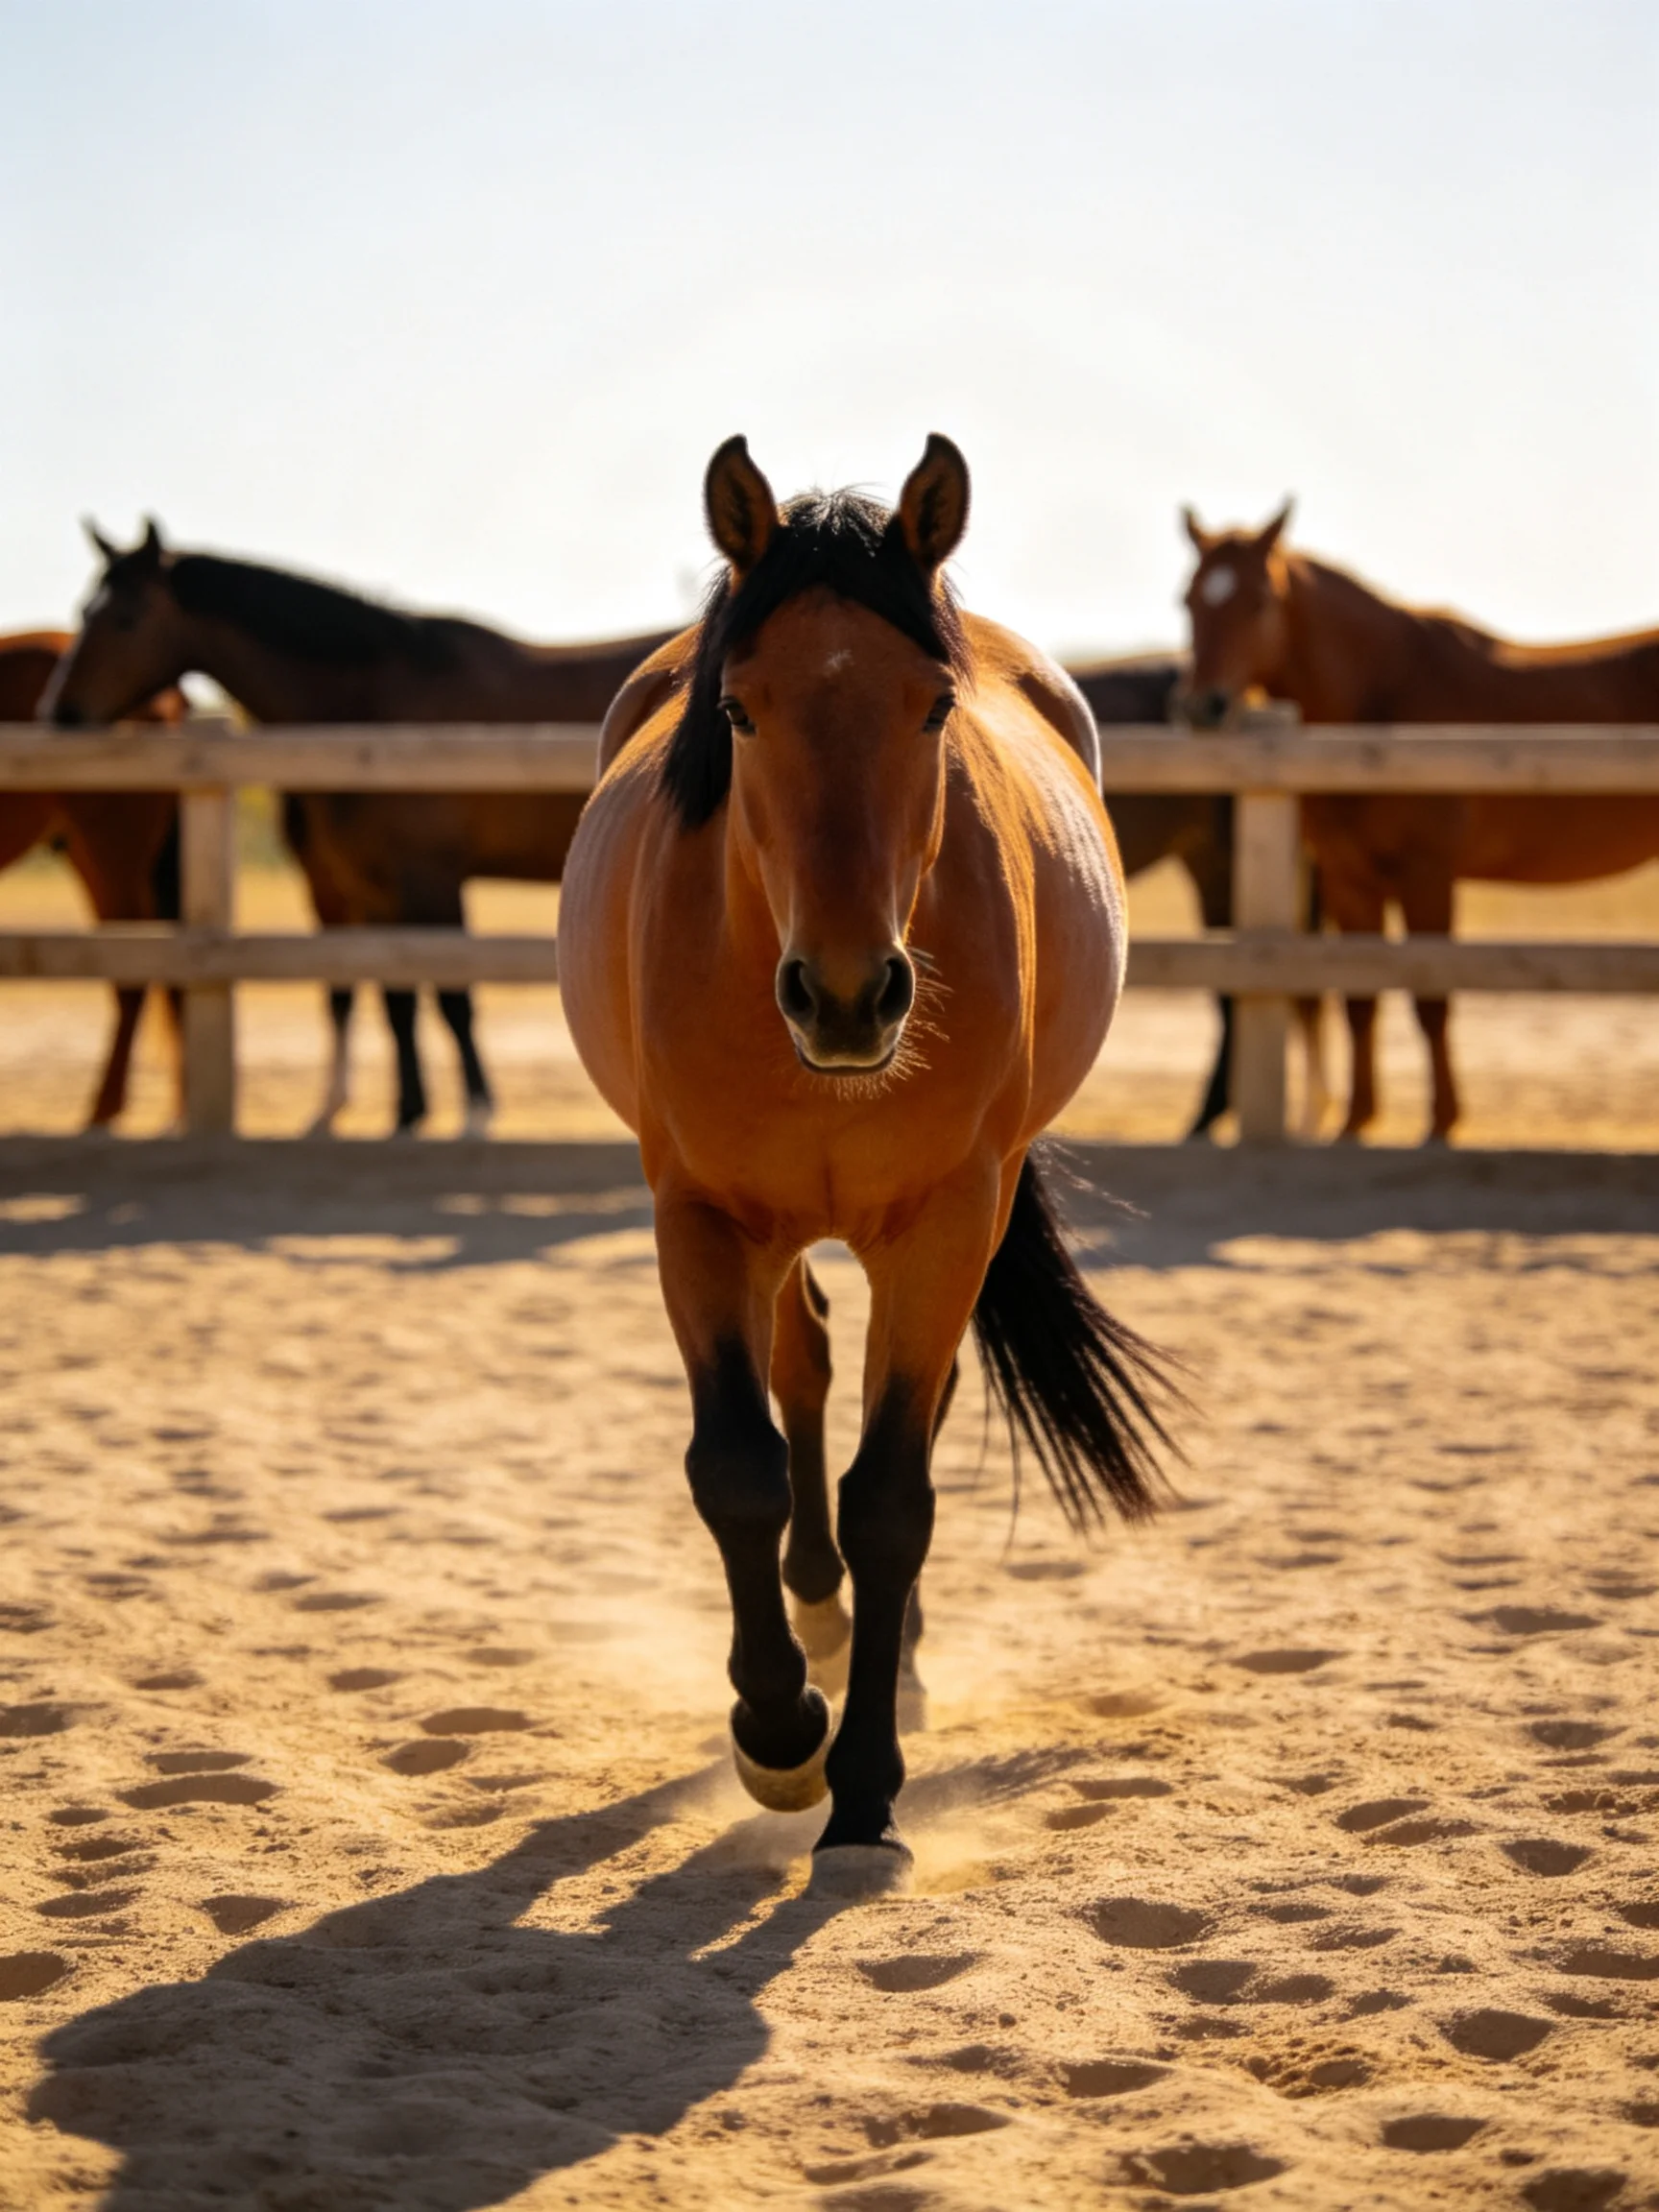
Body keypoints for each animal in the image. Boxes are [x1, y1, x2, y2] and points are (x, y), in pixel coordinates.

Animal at [42, 523, 674, 1135]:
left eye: (125, 617)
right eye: (82, 610)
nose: (60, 712)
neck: (376, 706)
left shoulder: (428, 878)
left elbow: (452, 995)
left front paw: (475, 1111)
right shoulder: (373, 888)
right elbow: (396, 999)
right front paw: (407, 1113)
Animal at [559, 435, 1176, 1883]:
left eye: (935, 709)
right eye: (738, 712)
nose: (847, 995)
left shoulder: (948, 1221)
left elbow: (895, 1492)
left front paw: (866, 1785)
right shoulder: (699, 1216)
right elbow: (734, 1465)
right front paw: (780, 1729)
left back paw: (888, 1663)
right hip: (778, 1228)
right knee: (804, 1368)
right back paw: (823, 1627)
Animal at [1180, 504, 1659, 1138]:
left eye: (1258, 601)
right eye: (1188, 600)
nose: (1202, 706)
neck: (1383, 703)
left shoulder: (1426, 874)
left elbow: (1431, 998)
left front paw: (1441, 1124)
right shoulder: (1349, 879)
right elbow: (1360, 1000)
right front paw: (1355, 1124)